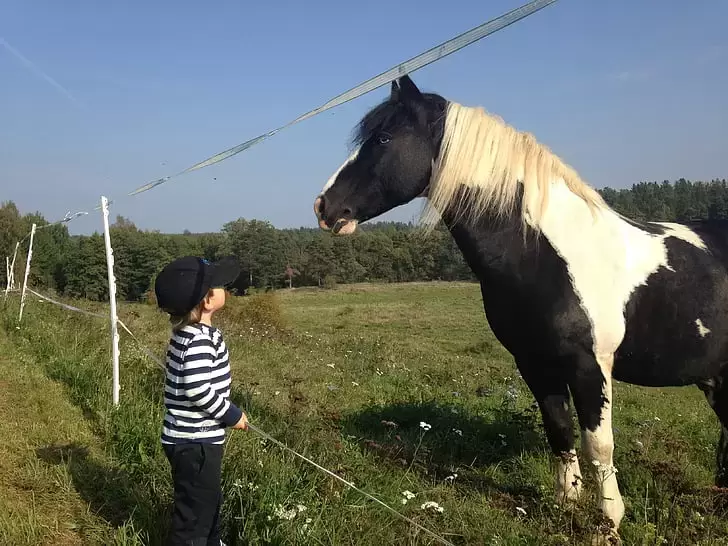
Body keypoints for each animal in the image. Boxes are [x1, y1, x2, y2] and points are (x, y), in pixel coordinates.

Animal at [312, 73, 728, 540]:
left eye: (382, 138)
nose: (324, 207)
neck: (548, 254)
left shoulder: (590, 366)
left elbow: (598, 444)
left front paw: (608, 523)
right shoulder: (534, 362)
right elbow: (559, 430)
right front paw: (566, 504)